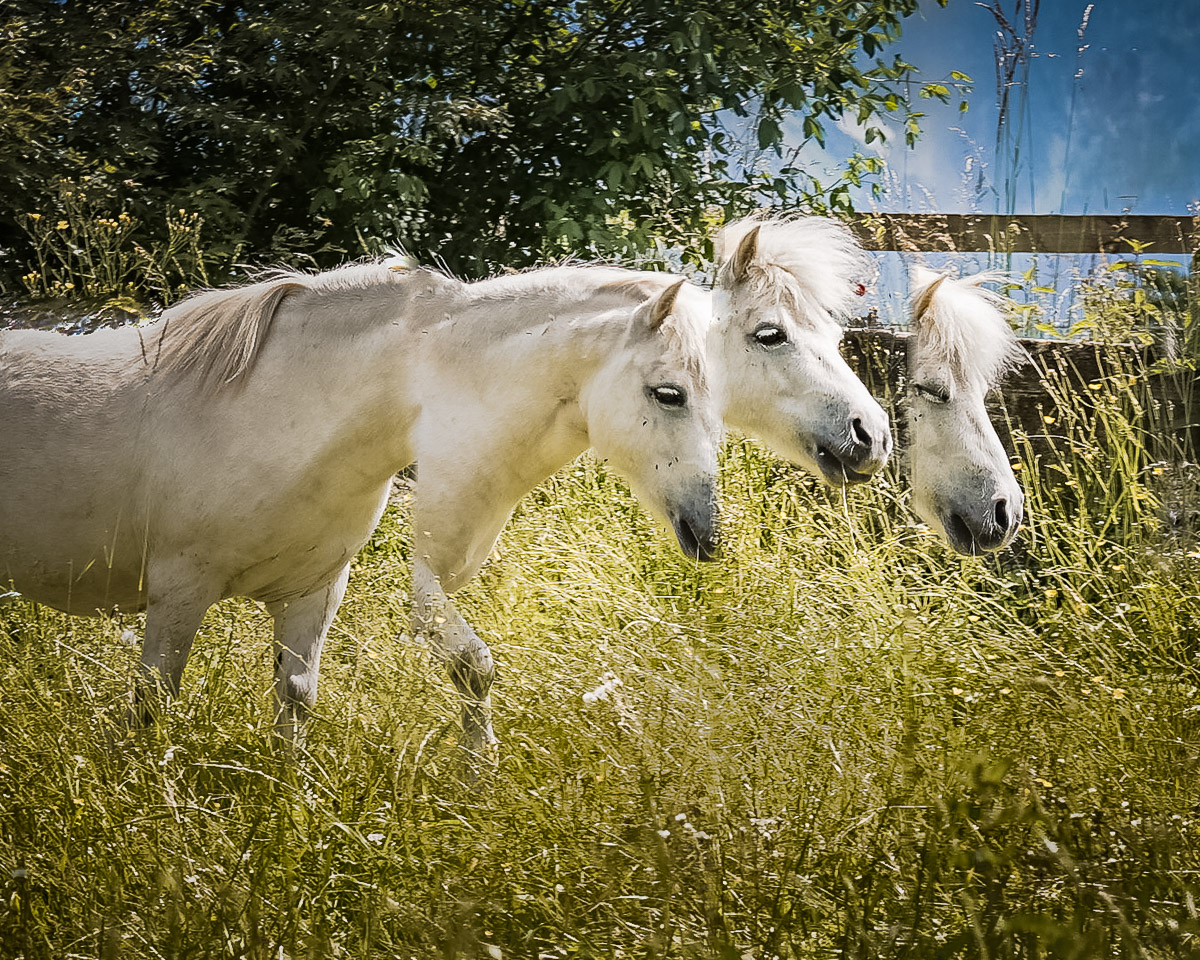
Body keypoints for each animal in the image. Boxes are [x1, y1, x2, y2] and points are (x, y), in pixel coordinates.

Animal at [0, 262, 720, 758]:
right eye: (669, 393)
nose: (707, 533)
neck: (277, 411)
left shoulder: (313, 593)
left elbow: (298, 701)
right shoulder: (179, 590)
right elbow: (152, 703)